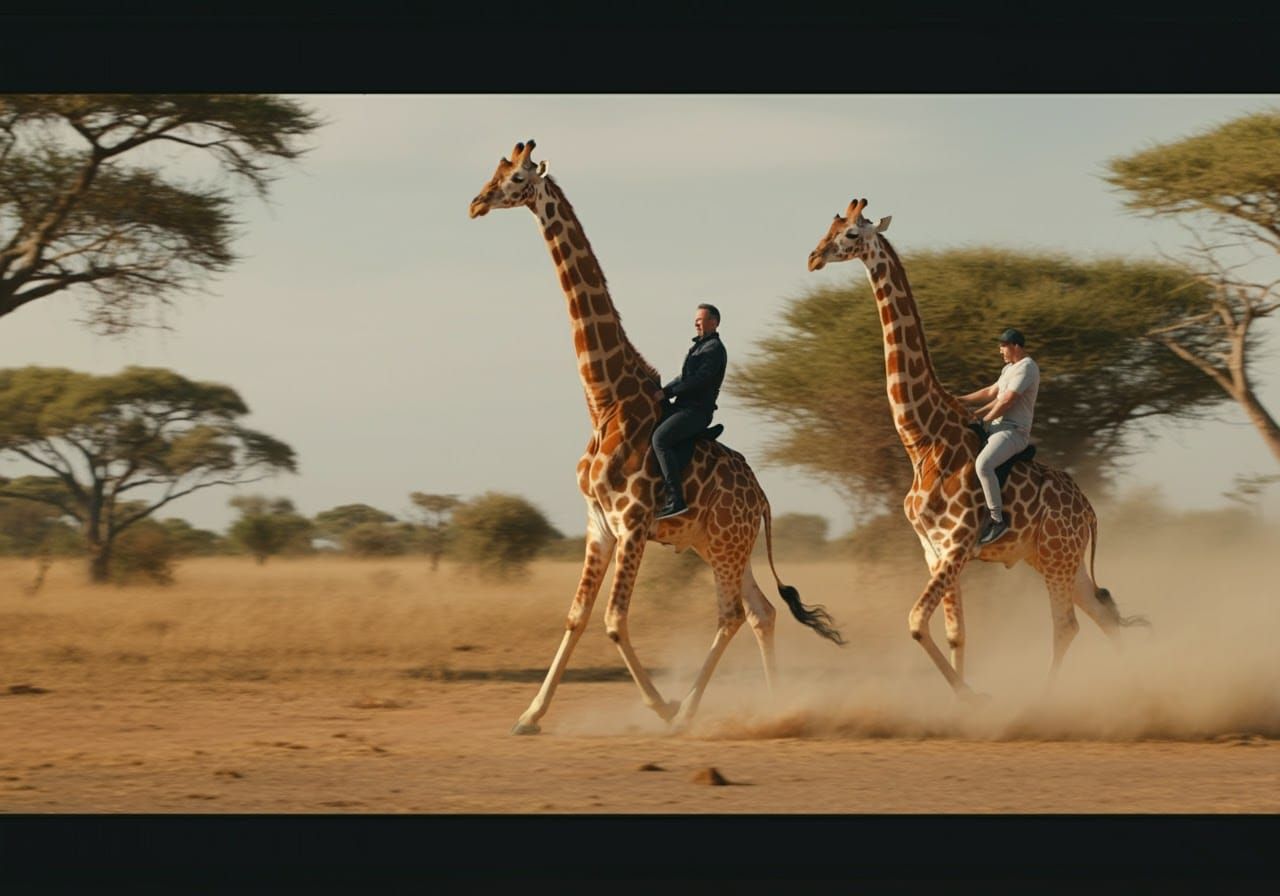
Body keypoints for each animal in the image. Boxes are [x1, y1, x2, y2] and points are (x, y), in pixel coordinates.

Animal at [468, 139, 845, 734]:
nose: (477, 202)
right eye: (497, 169)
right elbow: (577, 616)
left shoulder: (632, 524)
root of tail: (762, 499)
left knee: (733, 613)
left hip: (725, 545)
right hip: (719, 545)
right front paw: (529, 715)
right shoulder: (599, 525)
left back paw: (690, 710)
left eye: (519, 176)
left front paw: (660, 704)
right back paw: (773, 708)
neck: (605, 401)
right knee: (760, 611)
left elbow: (614, 620)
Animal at [806, 198, 1146, 698]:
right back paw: (1137, 691)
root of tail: (1089, 511)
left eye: (851, 233)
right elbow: (955, 632)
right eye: (829, 225)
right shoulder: (933, 549)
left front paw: (974, 698)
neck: (923, 442)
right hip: (1056, 558)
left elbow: (914, 622)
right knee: (1104, 615)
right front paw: (964, 697)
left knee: (1067, 625)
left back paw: (1044, 701)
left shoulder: (957, 546)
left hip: (1058, 558)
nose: (813, 258)